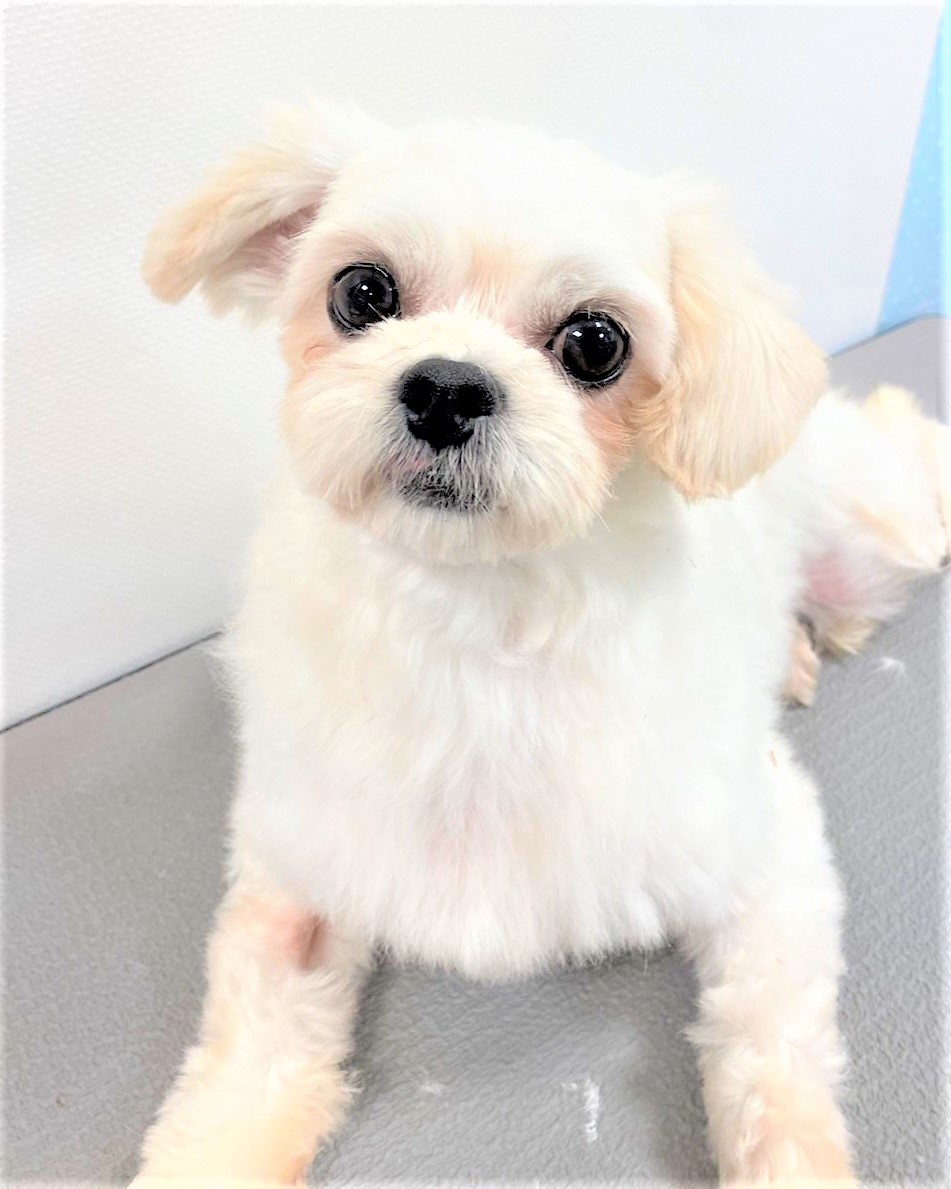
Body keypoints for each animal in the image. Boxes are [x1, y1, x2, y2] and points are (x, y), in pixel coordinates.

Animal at [134, 102, 949, 1186]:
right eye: (361, 291)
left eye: (595, 343)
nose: (445, 386)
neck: (480, 628)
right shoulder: (301, 864)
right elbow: (249, 1052)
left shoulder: (766, 853)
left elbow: (773, 1057)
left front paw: (792, 1158)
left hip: (879, 538)